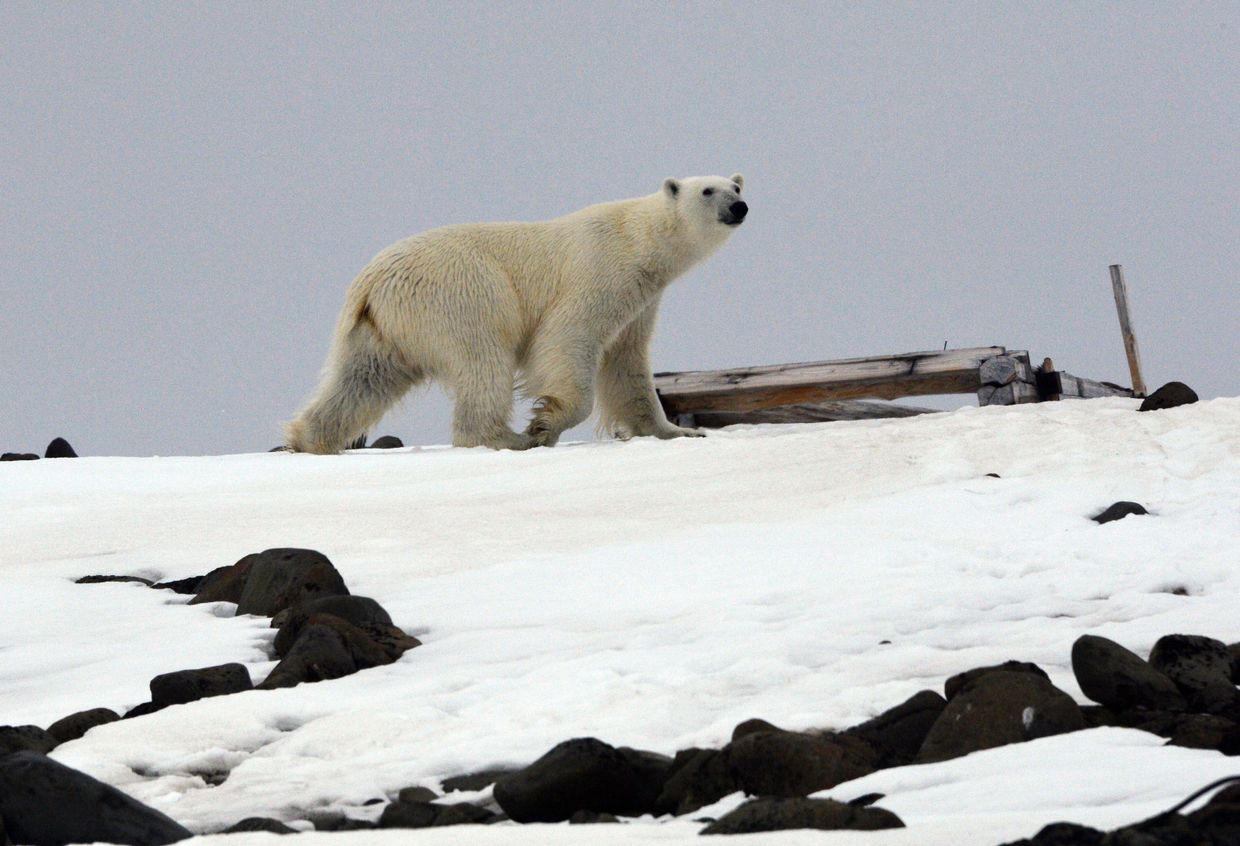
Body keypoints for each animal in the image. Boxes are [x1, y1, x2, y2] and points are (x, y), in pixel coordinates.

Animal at [285, 174, 748, 454]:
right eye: (707, 191)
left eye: (737, 188)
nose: (738, 208)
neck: (637, 239)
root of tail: (369, 280)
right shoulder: (600, 272)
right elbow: (567, 337)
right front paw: (544, 426)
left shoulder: (642, 301)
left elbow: (626, 364)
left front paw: (679, 430)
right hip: (462, 294)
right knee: (483, 360)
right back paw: (506, 438)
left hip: (384, 327)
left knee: (362, 379)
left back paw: (309, 438)